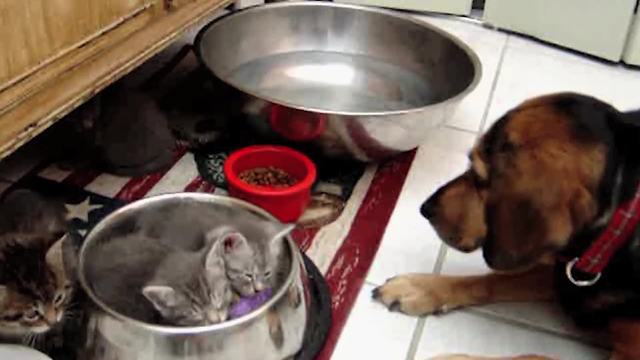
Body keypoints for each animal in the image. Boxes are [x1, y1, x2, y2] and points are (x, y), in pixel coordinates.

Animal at [370, 93, 640, 360]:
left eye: (480, 179)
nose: (425, 208)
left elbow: (534, 356)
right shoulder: (558, 269)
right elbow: (492, 279)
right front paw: (420, 287)